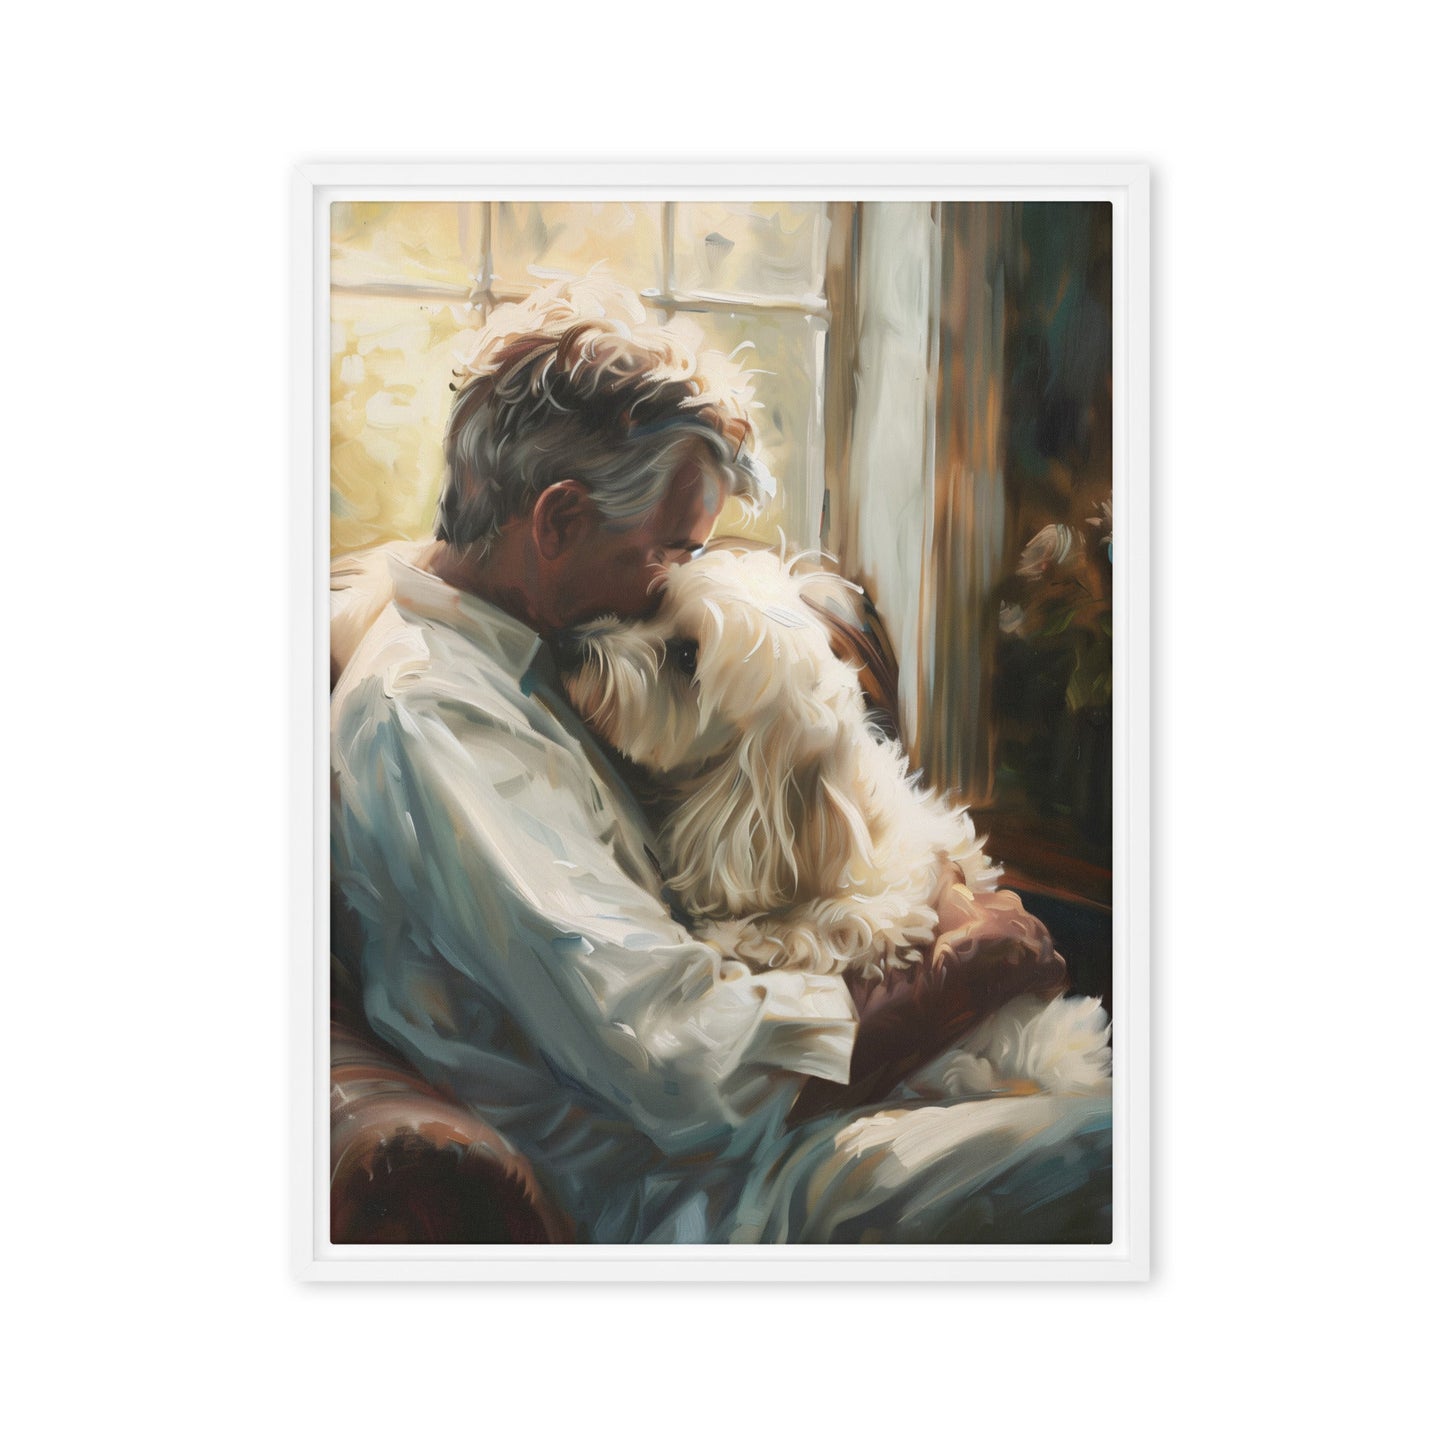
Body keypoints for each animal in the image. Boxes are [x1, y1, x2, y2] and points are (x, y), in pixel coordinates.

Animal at [560, 549, 1103, 1092]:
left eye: (687, 657)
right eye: (654, 607)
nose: (572, 644)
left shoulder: (893, 908)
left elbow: (825, 929)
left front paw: (739, 936)